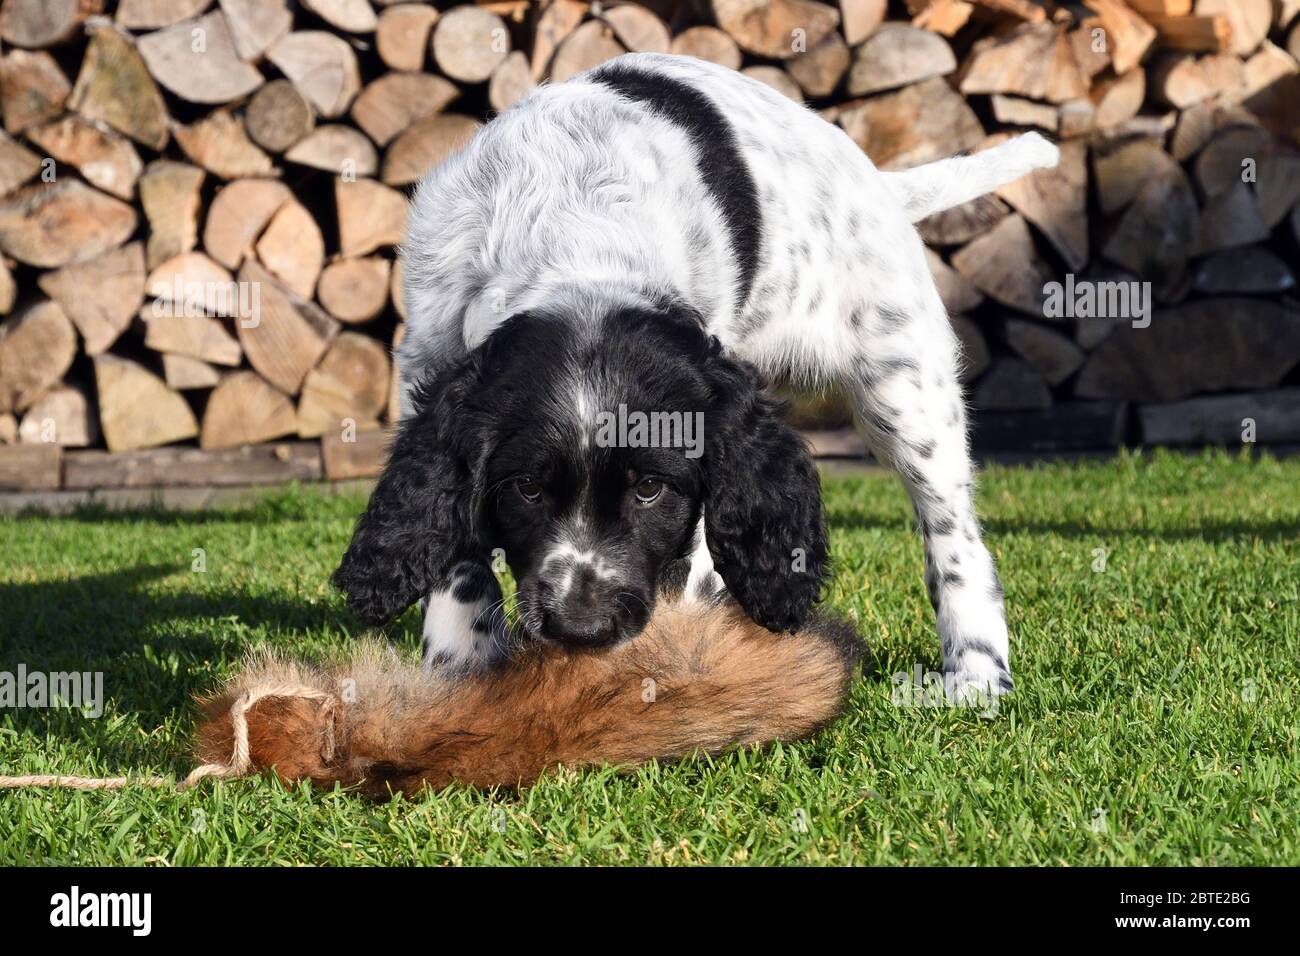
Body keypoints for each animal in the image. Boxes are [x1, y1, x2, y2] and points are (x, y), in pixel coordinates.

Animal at [332, 54, 1055, 702]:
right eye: (527, 489)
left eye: (651, 488)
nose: (582, 629)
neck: (577, 237)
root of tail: (878, 180)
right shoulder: (428, 356)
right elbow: (451, 539)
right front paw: (461, 663)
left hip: (902, 383)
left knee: (954, 536)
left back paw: (976, 676)